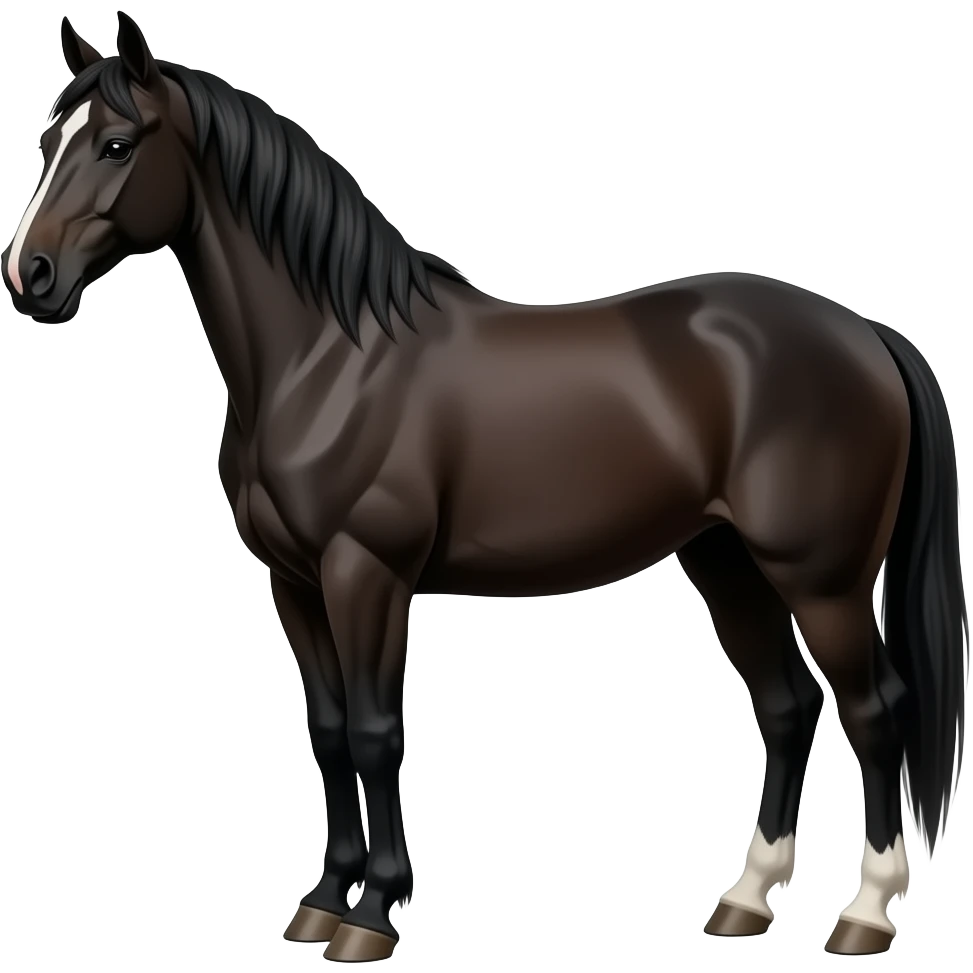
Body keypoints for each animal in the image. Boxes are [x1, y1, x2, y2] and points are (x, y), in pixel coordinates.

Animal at [3, 12, 967, 962]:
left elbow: (374, 732)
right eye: (49, 140)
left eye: (118, 144)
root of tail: (867, 334)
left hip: (820, 580)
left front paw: (370, 913)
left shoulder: (367, 574)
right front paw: (320, 900)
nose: (30, 276)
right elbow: (328, 733)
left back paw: (864, 914)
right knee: (786, 706)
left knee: (872, 710)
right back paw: (744, 899)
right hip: (726, 562)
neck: (328, 358)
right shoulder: (294, 581)